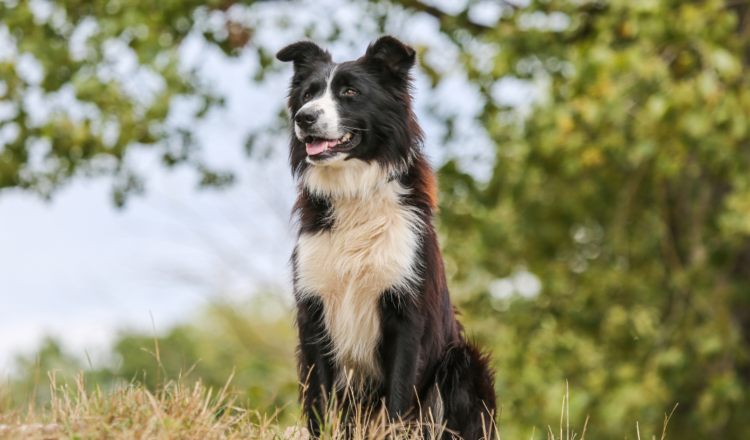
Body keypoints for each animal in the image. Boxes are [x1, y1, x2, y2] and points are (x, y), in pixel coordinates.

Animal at [278, 37, 500, 440]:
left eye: (350, 92)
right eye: (307, 94)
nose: (304, 117)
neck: (354, 191)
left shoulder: (406, 314)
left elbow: (399, 398)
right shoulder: (315, 311)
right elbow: (319, 400)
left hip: (462, 361)